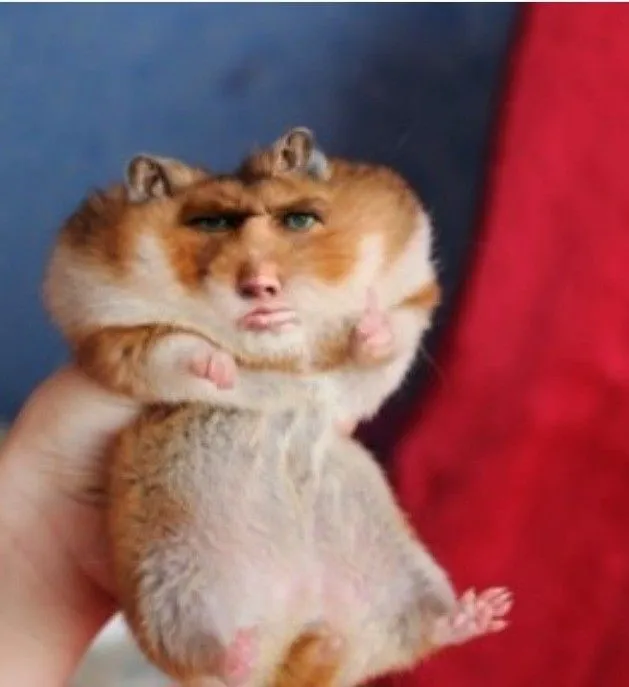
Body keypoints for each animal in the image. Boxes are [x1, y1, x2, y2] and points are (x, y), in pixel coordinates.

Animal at [43, 128, 512, 687]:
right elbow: (175, 344)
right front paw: (224, 369)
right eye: (211, 223)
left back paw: (488, 608)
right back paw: (241, 649)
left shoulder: (412, 293)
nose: (261, 288)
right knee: (218, 661)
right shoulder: (106, 331)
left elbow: (388, 342)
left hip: (407, 571)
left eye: (299, 220)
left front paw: (368, 329)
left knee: (421, 631)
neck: (280, 351)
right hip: (169, 591)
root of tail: (303, 624)